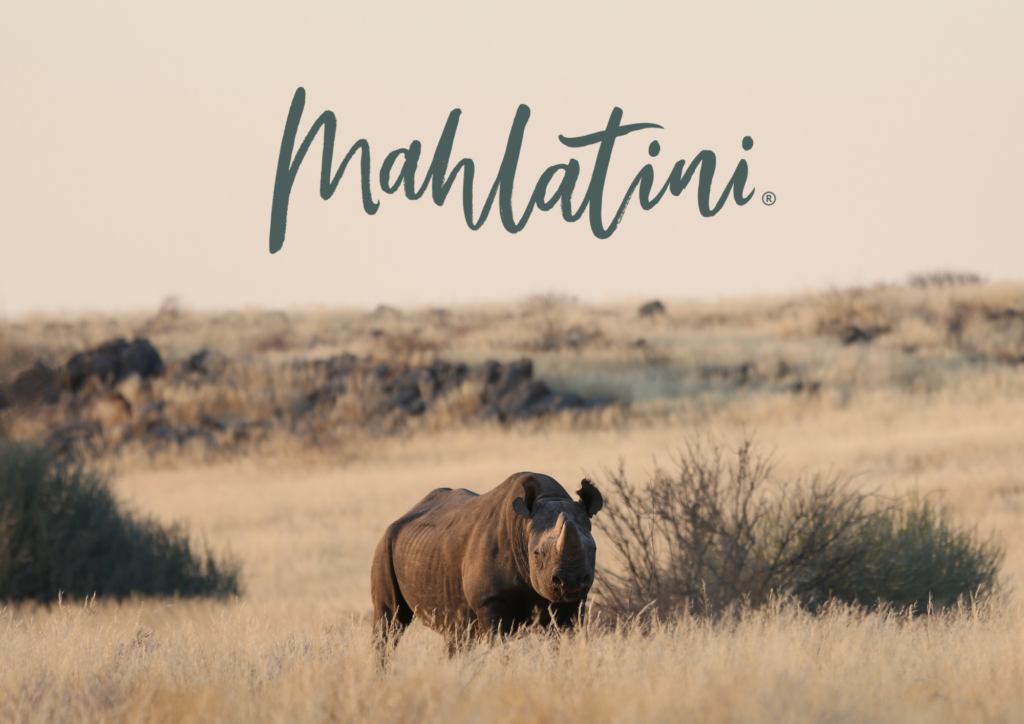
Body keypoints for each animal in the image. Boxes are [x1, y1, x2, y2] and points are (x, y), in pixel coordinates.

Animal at [370, 471, 603, 661]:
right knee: (390, 621)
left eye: (593, 549)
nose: (570, 581)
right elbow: (500, 647)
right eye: (537, 554)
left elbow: (563, 643)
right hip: (385, 544)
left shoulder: (573, 603)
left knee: (457, 635)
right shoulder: (490, 600)